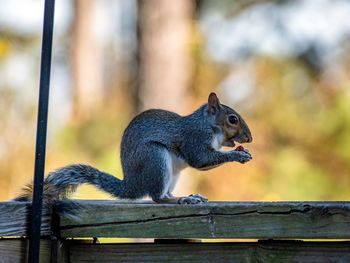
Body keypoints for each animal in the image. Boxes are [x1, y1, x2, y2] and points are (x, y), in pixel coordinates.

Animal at [15, 93, 252, 208]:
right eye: (232, 119)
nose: (250, 138)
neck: (208, 125)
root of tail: (132, 184)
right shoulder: (194, 138)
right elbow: (201, 160)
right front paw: (238, 155)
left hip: (172, 173)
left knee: (164, 193)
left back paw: (187, 196)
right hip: (155, 159)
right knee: (158, 197)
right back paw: (182, 200)